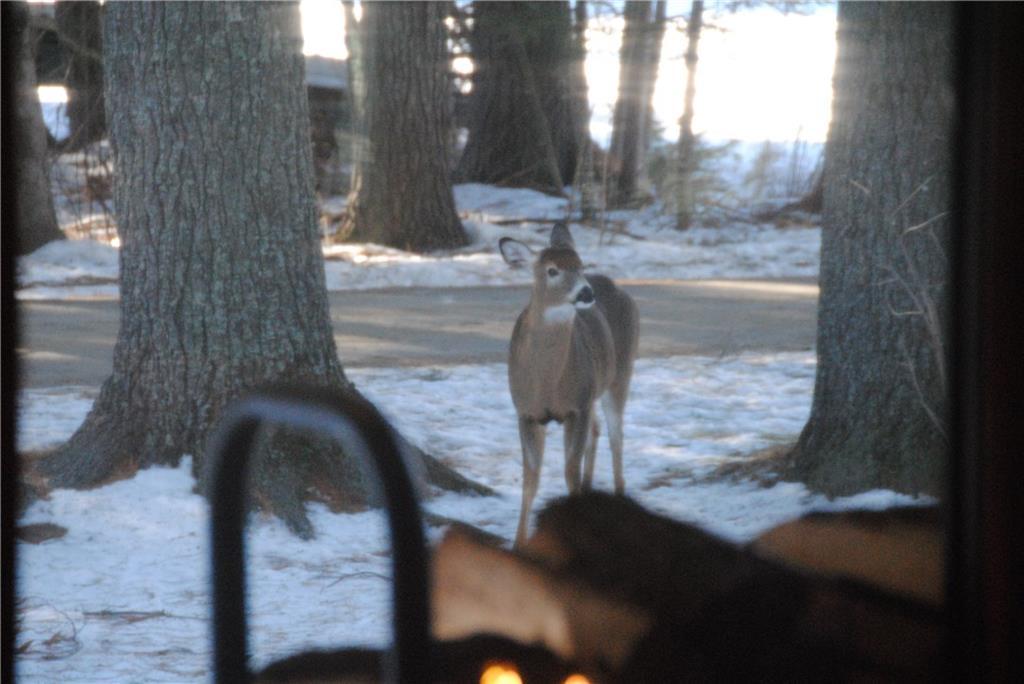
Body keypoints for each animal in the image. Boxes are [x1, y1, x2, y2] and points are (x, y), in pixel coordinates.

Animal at [499, 222, 639, 547]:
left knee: (616, 434)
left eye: (580, 264)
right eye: (552, 270)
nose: (586, 291)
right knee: (598, 430)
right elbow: (531, 479)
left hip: (621, 371)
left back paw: (619, 494)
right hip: (595, 388)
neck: (547, 383)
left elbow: (569, 472)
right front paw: (518, 543)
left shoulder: (576, 407)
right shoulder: (525, 412)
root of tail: (615, 285)